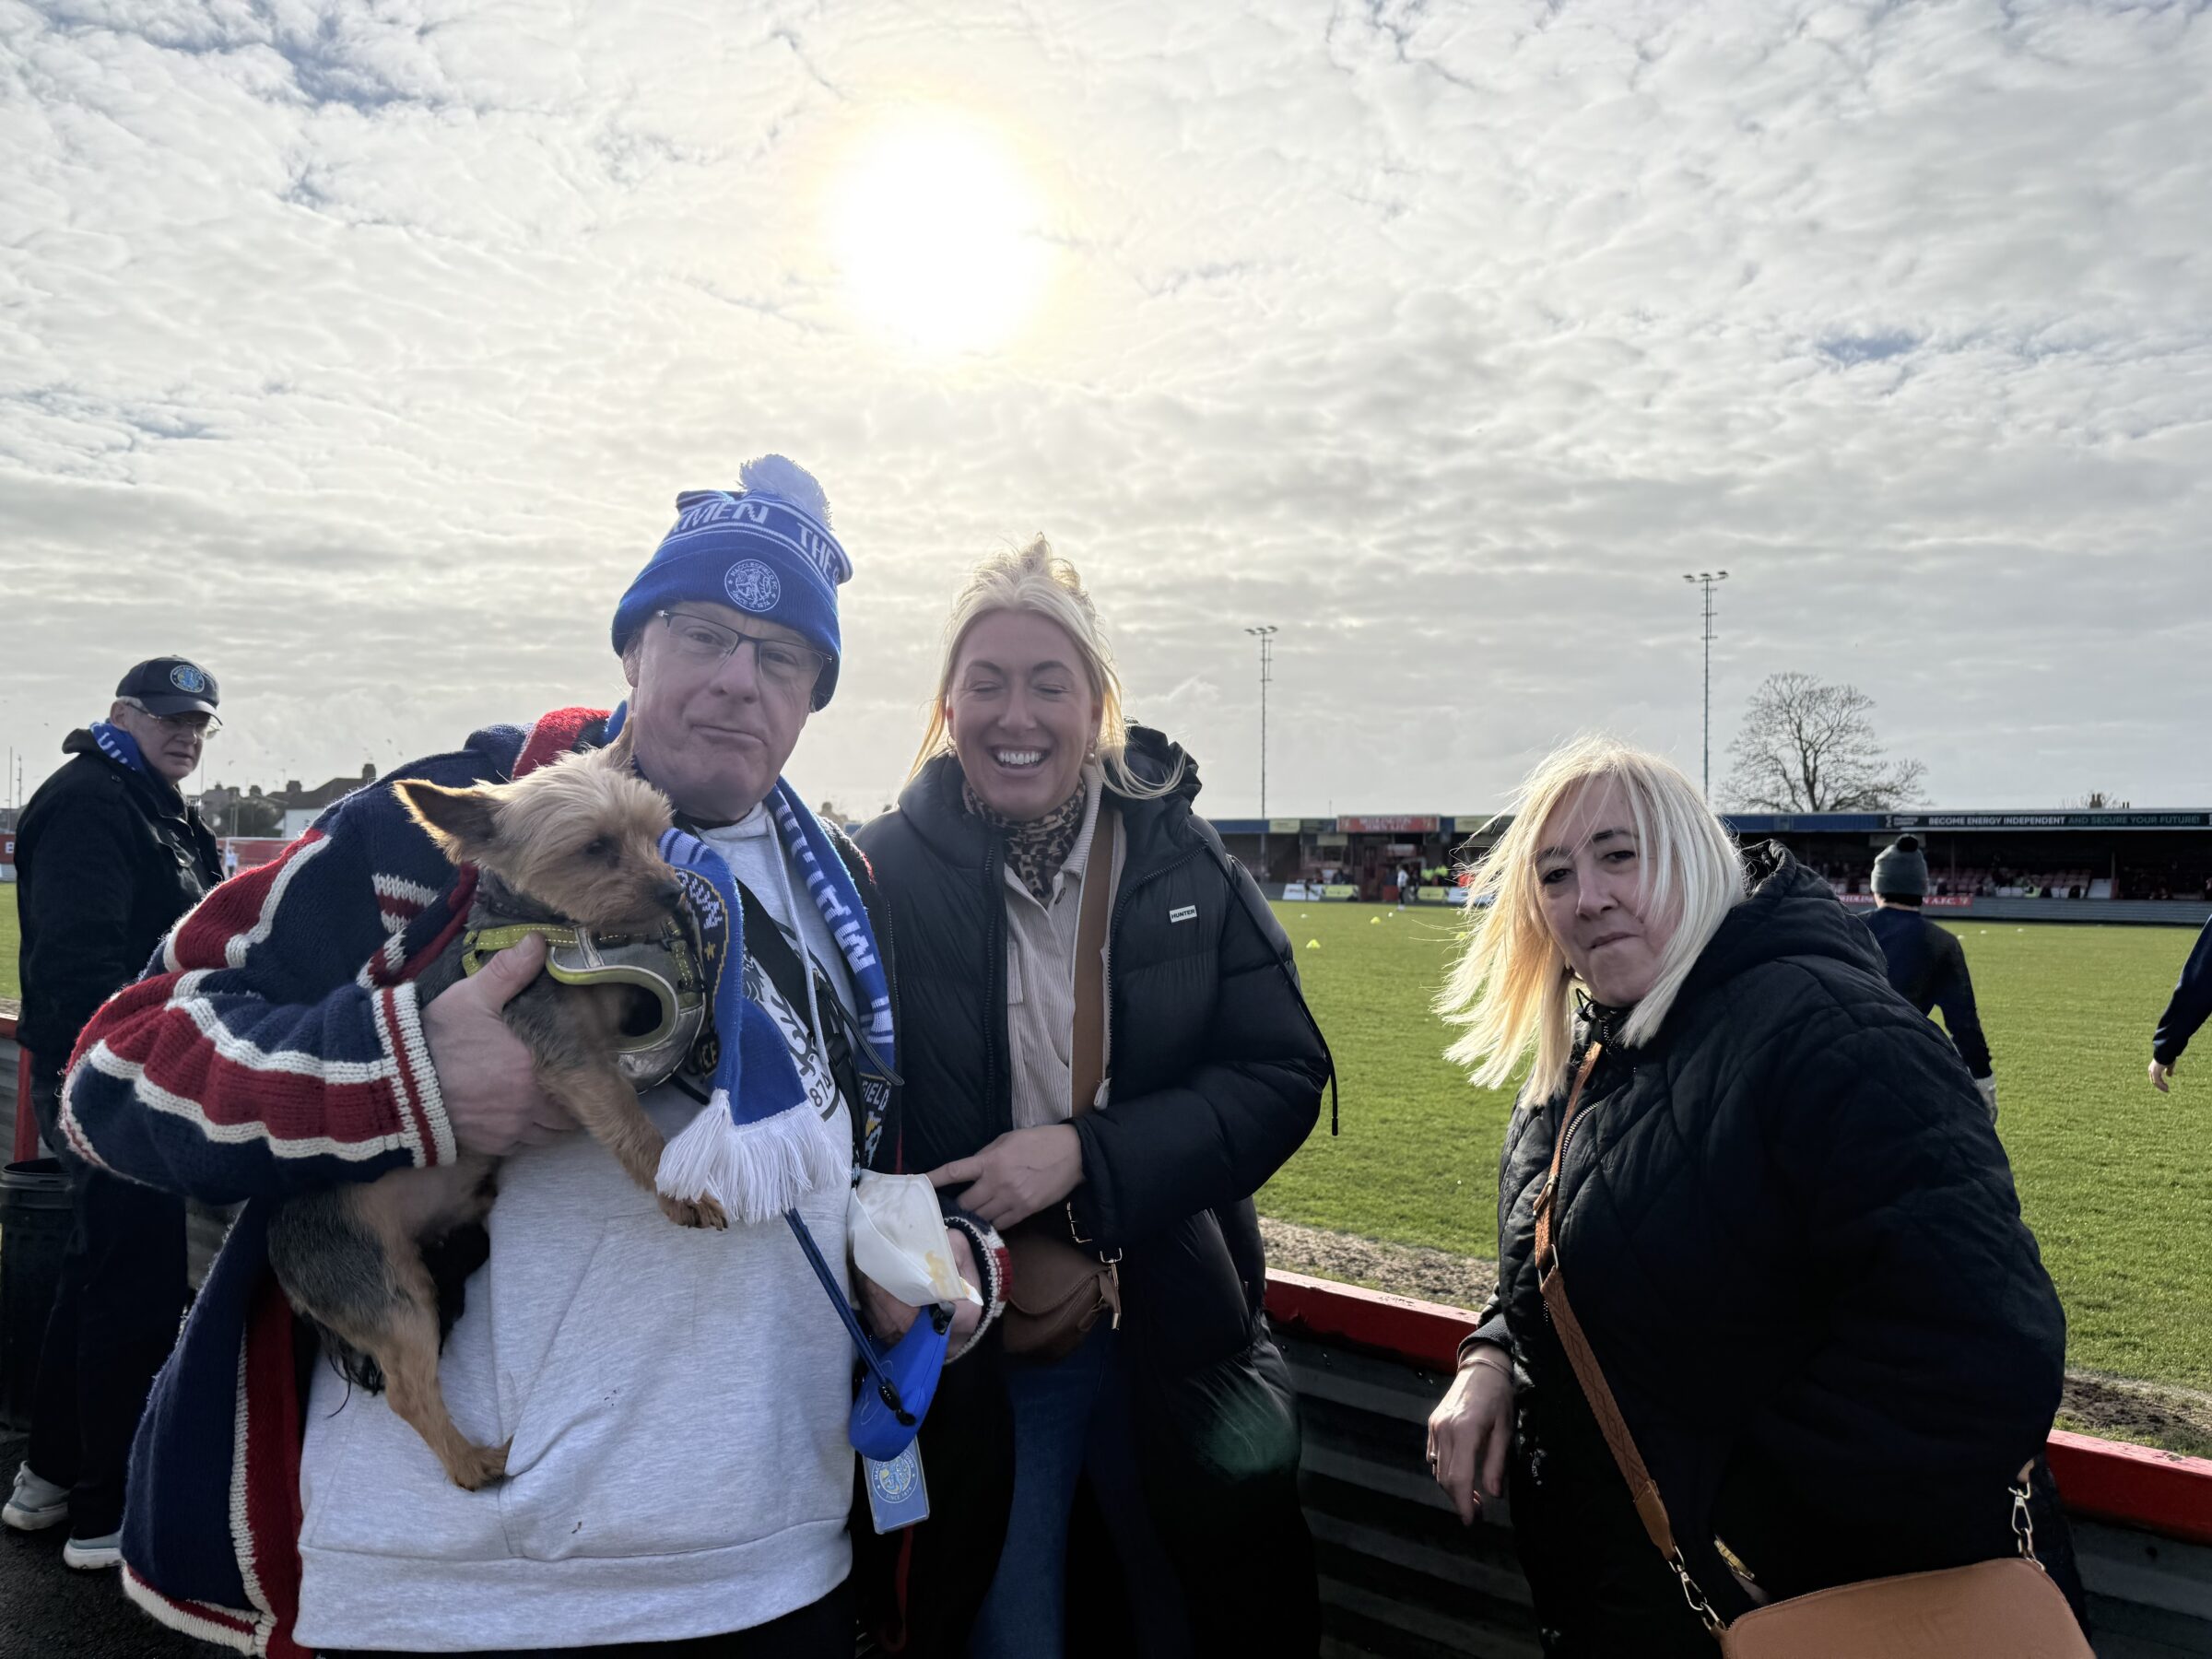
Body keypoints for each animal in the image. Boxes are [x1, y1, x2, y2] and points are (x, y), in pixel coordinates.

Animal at [268, 746, 723, 1490]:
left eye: (655, 833)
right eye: (593, 847)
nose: (672, 895)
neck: (552, 925)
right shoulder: (570, 1056)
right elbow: (632, 1125)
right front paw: (676, 1188)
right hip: (386, 1290)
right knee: (409, 1390)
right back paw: (473, 1463)